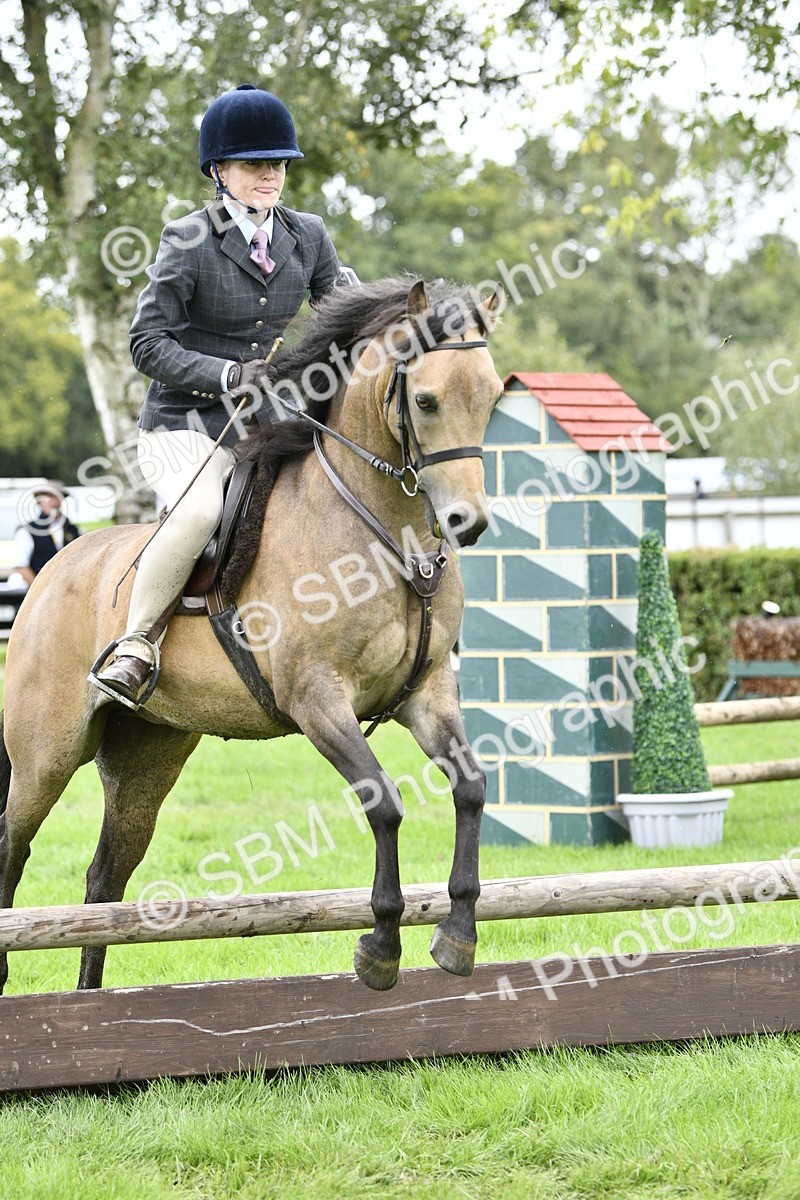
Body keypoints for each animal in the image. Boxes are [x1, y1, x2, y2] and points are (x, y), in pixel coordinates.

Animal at [0, 276, 503, 993]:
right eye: (426, 399)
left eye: (491, 395)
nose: (468, 522)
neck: (386, 537)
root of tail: (53, 569)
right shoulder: (317, 700)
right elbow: (384, 803)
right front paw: (380, 946)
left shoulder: (428, 694)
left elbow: (470, 786)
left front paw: (457, 934)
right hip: (46, 753)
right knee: (13, 844)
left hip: (147, 753)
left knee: (105, 877)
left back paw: (90, 995)